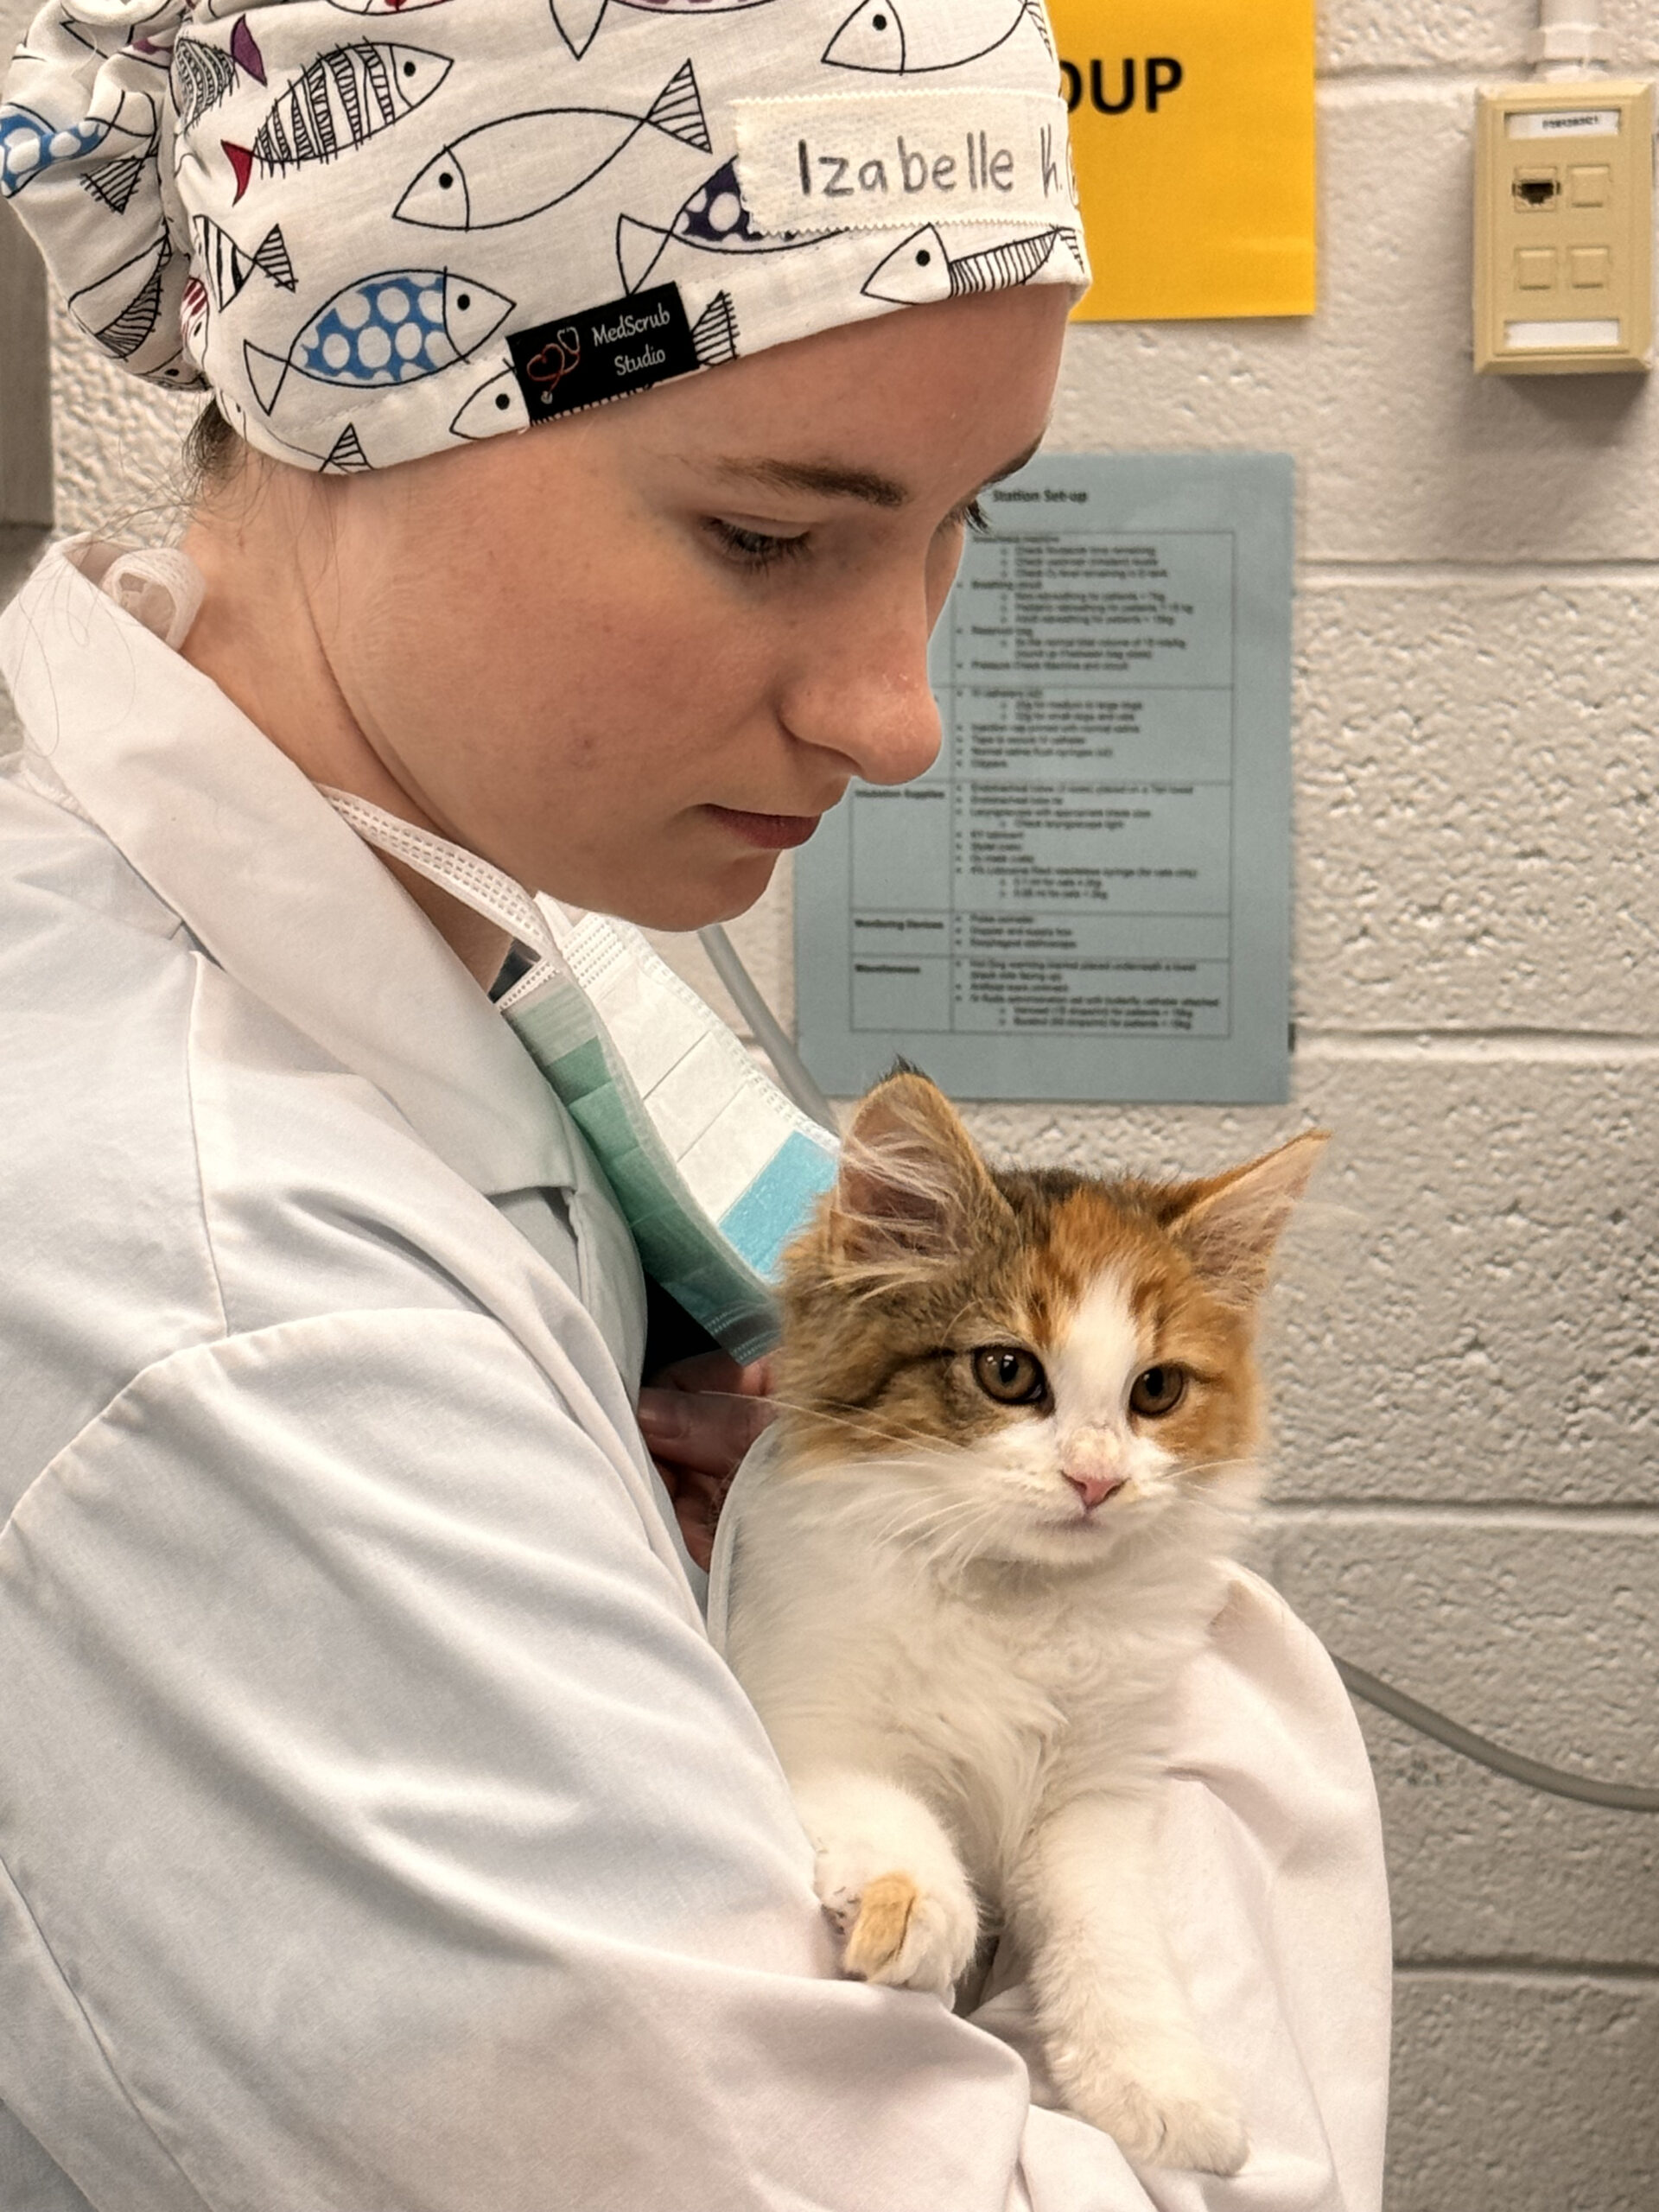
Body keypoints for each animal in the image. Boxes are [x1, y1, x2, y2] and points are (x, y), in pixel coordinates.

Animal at [725, 1071, 1327, 2177]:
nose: (1096, 1478)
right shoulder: (809, 1716)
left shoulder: (1097, 1792)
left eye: (1156, 1389)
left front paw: (1160, 2081)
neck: (1017, 1600)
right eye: (1008, 1372)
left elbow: (1110, 1933)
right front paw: (915, 1906)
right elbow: (890, 1815)